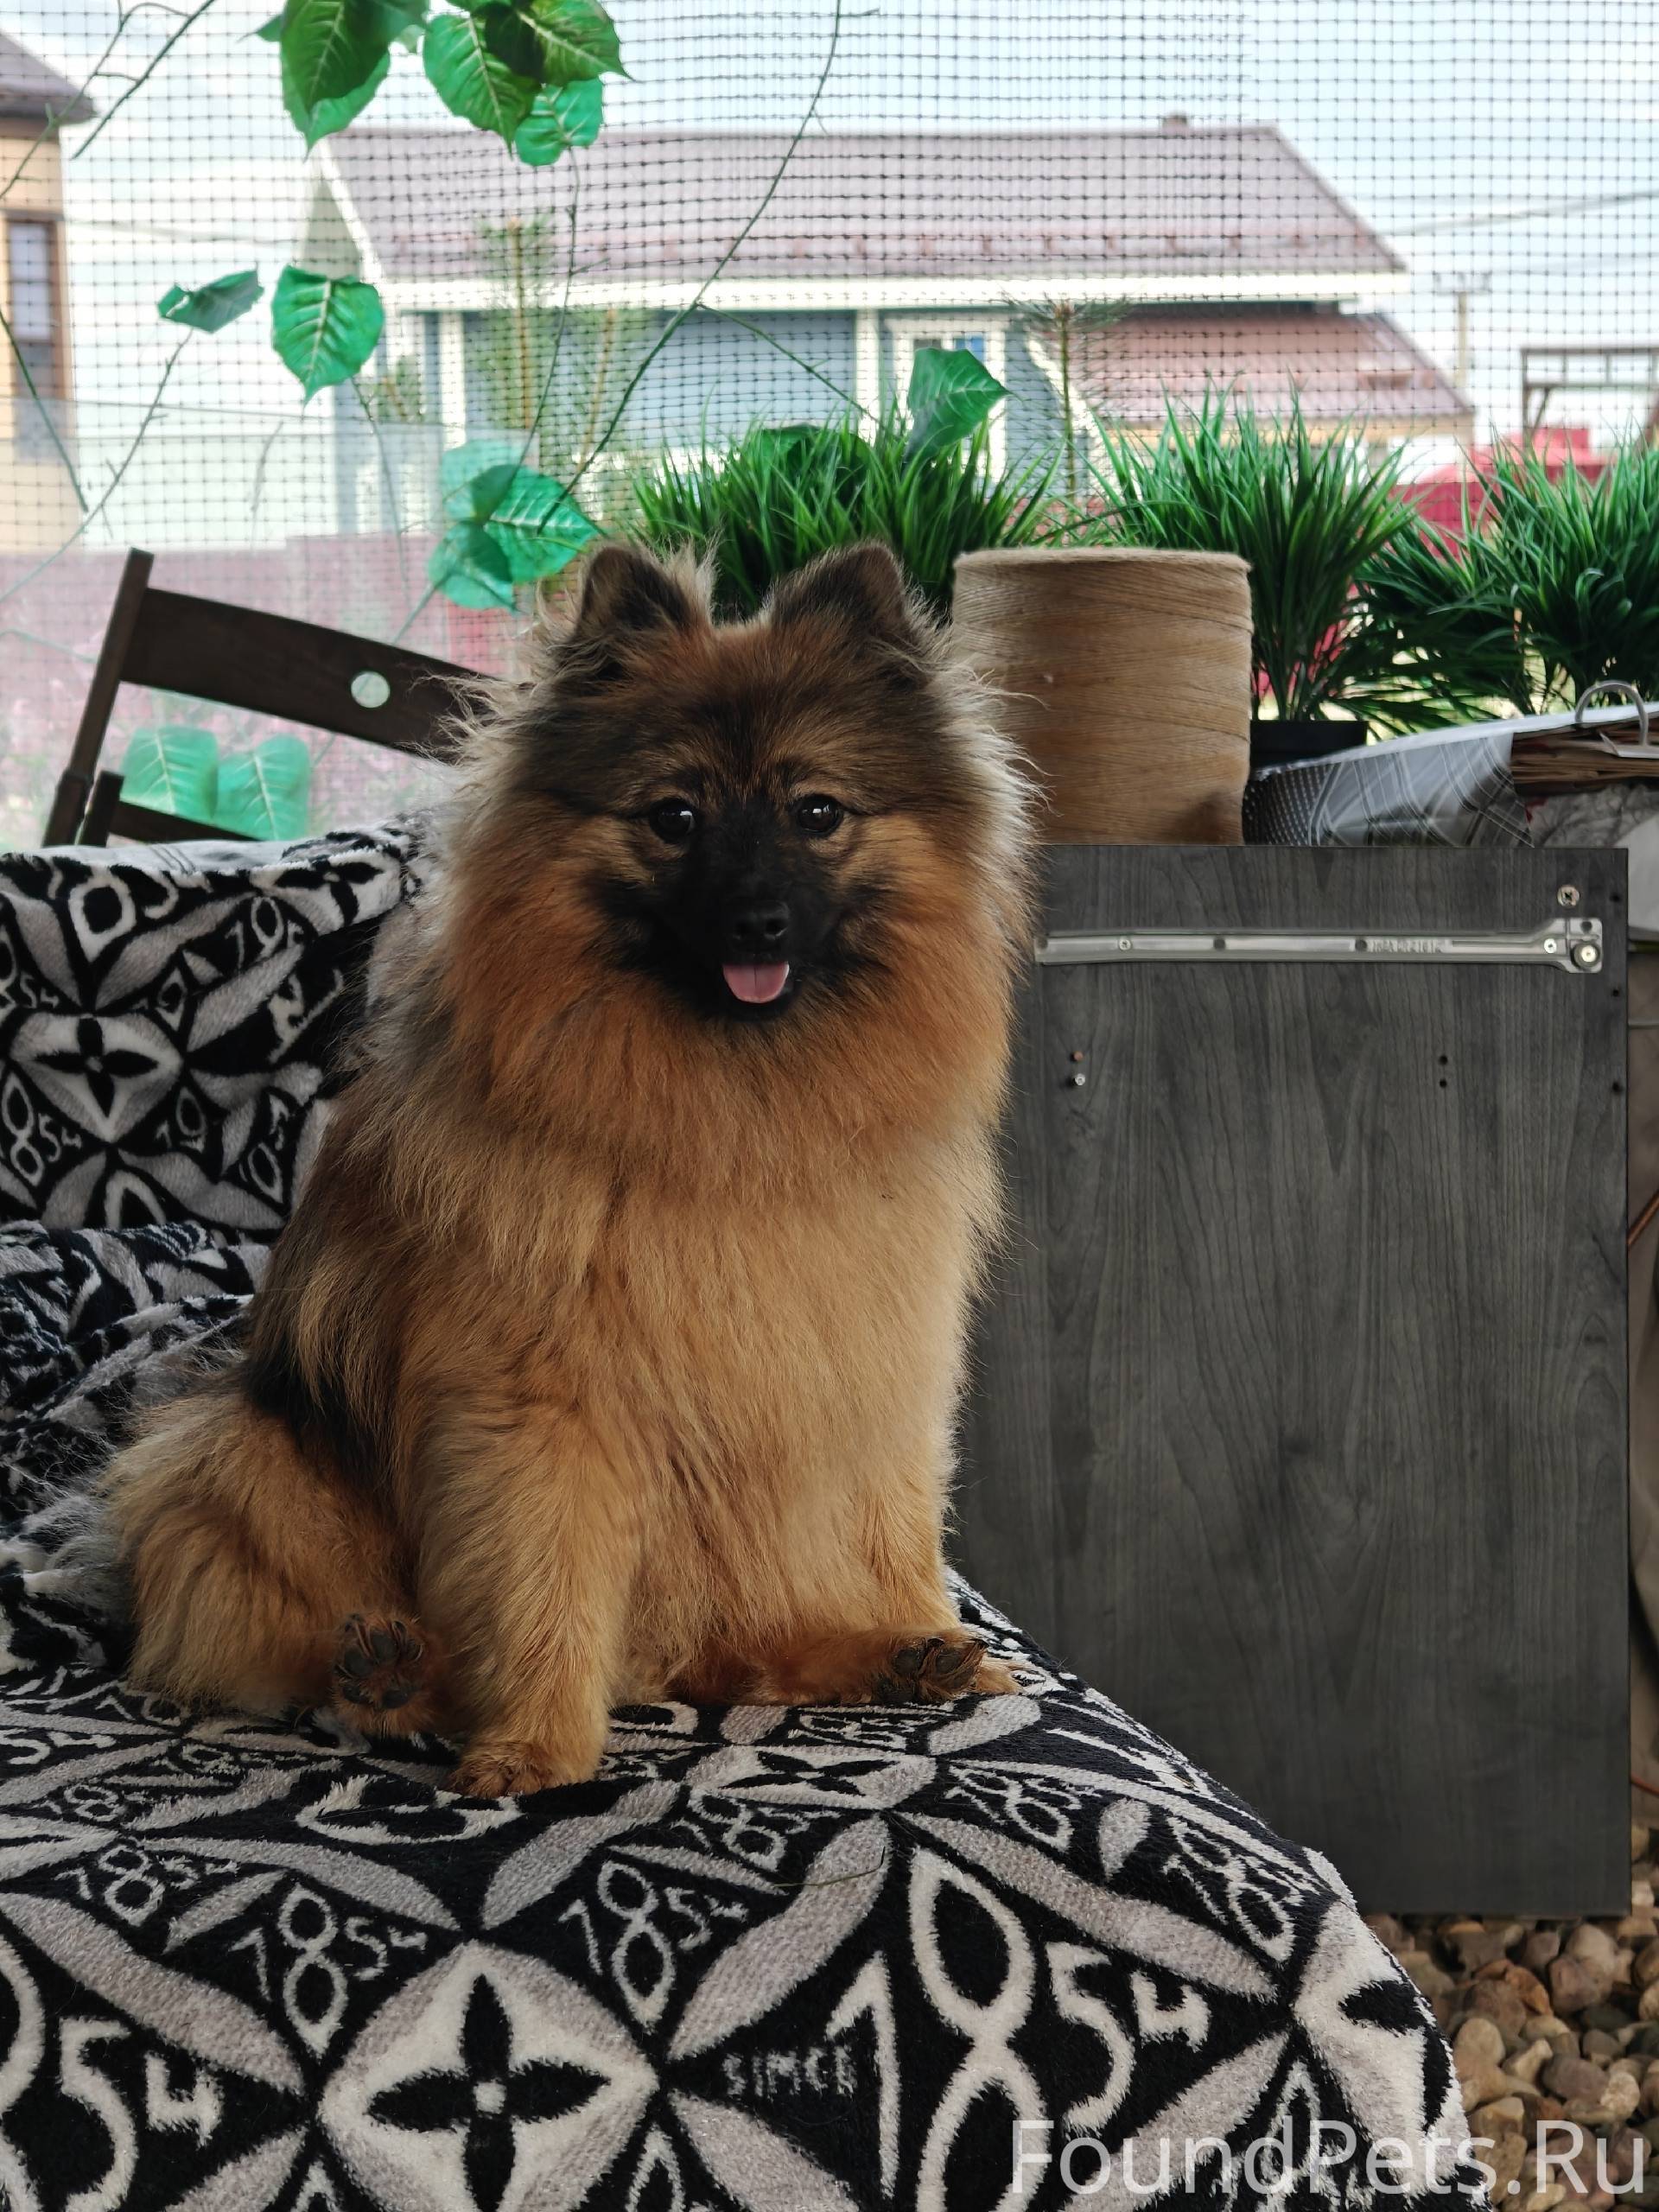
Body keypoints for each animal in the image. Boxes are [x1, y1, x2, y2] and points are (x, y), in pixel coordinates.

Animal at [102, 540, 1032, 1795]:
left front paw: (916, 1628)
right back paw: (386, 1674)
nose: (761, 920)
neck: (735, 1117)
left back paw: (884, 1658)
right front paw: (535, 1745)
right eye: (675, 816)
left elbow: (891, 1525)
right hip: (237, 1451)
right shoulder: (539, 1412)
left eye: (818, 813)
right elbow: (541, 1578)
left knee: (743, 1645)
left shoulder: (873, 1372)